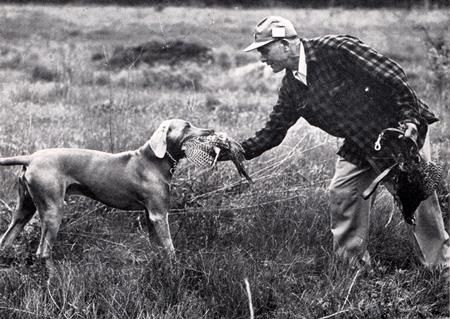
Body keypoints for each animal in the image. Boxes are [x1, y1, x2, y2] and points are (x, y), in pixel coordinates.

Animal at [0, 119, 214, 268]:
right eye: (187, 126)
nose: (211, 131)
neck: (153, 160)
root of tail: (31, 158)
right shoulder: (159, 215)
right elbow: (170, 247)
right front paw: (176, 269)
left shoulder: (150, 215)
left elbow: (157, 245)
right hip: (53, 210)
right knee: (43, 251)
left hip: (25, 209)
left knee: (6, 240)